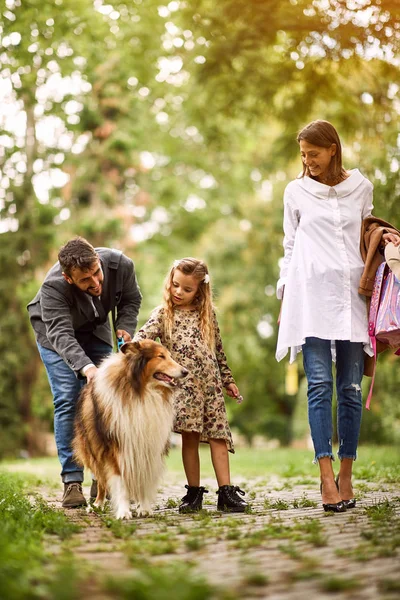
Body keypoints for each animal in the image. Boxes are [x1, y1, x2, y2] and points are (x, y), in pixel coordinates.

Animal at [72, 340, 188, 516]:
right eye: (160, 356)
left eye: (169, 355)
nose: (185, 372)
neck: (141, 391)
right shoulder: (116, 446)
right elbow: (119, 481)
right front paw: (123, 512)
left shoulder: (148, 446)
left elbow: (144, 479)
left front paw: (144, 508)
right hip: (94, 449)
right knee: (101, 480)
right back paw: (97, 504)